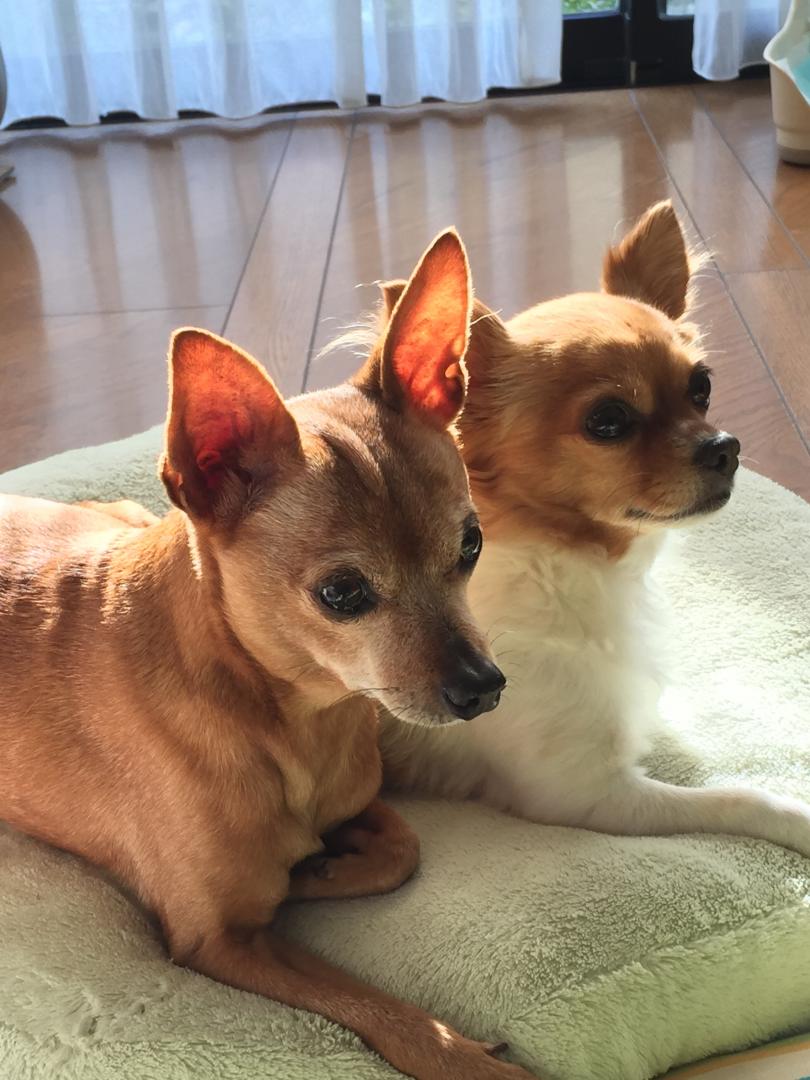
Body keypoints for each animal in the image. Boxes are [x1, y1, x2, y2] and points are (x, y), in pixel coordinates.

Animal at [0, 230, 534, 1080]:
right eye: (343, 593)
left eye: (472, 545)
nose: (482, 687)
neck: (297, 717)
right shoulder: (214, 939)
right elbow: (373, 1006)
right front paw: (466, 1058)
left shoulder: (360, 800)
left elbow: (403, 846)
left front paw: (322, 865)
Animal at [377, 203, 810, 857]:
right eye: (608, 421)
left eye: (702, 387)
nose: (727, 447)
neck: (576, 562)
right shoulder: (588, 795)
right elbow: (737, 796)